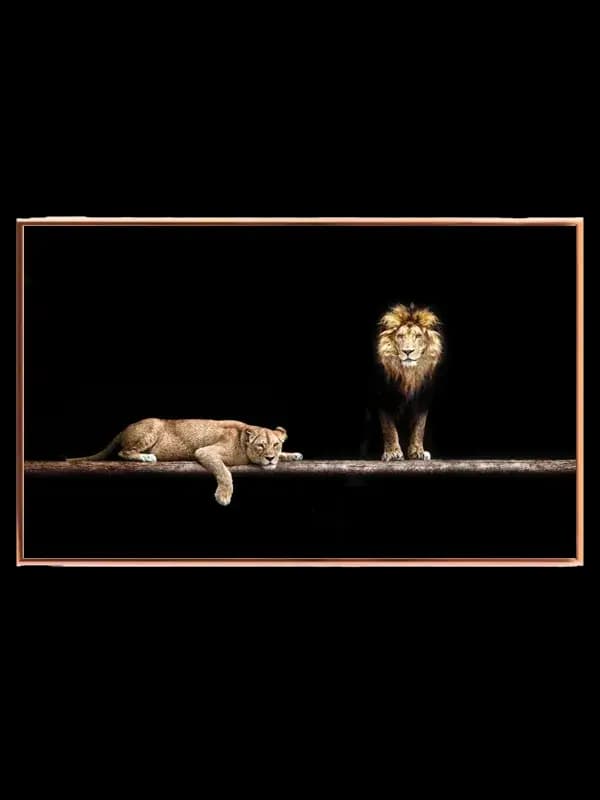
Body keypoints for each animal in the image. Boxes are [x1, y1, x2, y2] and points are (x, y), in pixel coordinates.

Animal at [67, 418, 303, 505]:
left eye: (276, 445)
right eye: (261, 446)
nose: (270, 458)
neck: (242, 441)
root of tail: (125, 428)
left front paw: (292, 455)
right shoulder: (206, 452)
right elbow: (225, 473)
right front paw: (223, 497)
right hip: (152, 428)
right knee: (123, 452)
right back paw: (147, 456)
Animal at [373, 303, 443, 461]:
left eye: (418, 336)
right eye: (400, 336)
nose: (407, 351)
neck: (408, 374)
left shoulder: (423, 398)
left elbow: (419, 426)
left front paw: (417, 452)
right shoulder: (383, 397)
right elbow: (388, 427)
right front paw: (393, 452)